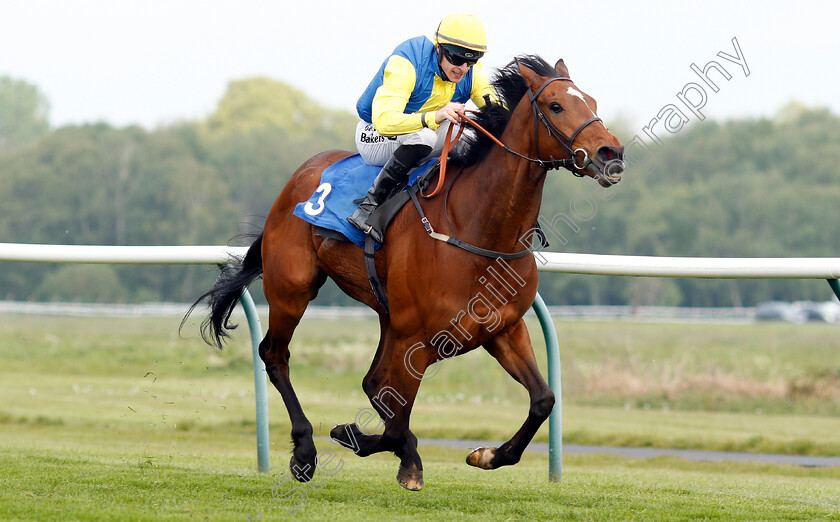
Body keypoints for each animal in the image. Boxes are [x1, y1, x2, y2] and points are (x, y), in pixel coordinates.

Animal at [189, 55, 624, 488]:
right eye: (556, 105)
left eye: (591, 101)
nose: (611, 153)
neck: (478, 229)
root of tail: (299, 176)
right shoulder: (418, 337)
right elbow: (395, 420)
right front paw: (365, 441)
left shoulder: (503, 328)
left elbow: (543, 400)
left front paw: (485, 455)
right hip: (293, 288)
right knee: (276, 355)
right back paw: (305, 451)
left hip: (386, 314)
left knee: (372, 380)